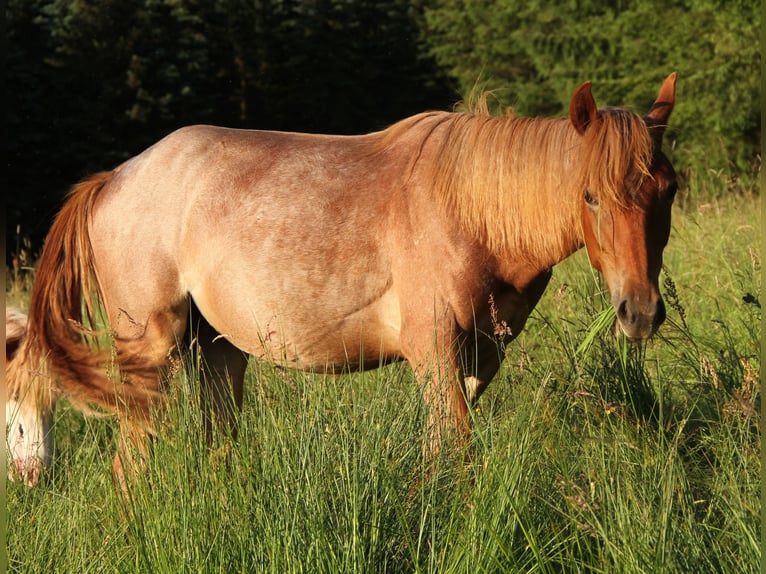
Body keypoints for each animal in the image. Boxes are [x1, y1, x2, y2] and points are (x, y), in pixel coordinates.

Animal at [4, 71, 680, 486]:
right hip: (149, 357)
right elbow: (455, 454)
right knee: (132, 467)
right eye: (590, 196)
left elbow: (442, 454)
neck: (470, 210)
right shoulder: (434, 352)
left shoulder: (479, 358)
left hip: (219, 351)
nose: (640, 312)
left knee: (216, 447)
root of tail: (113, 180)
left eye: (668, 190)